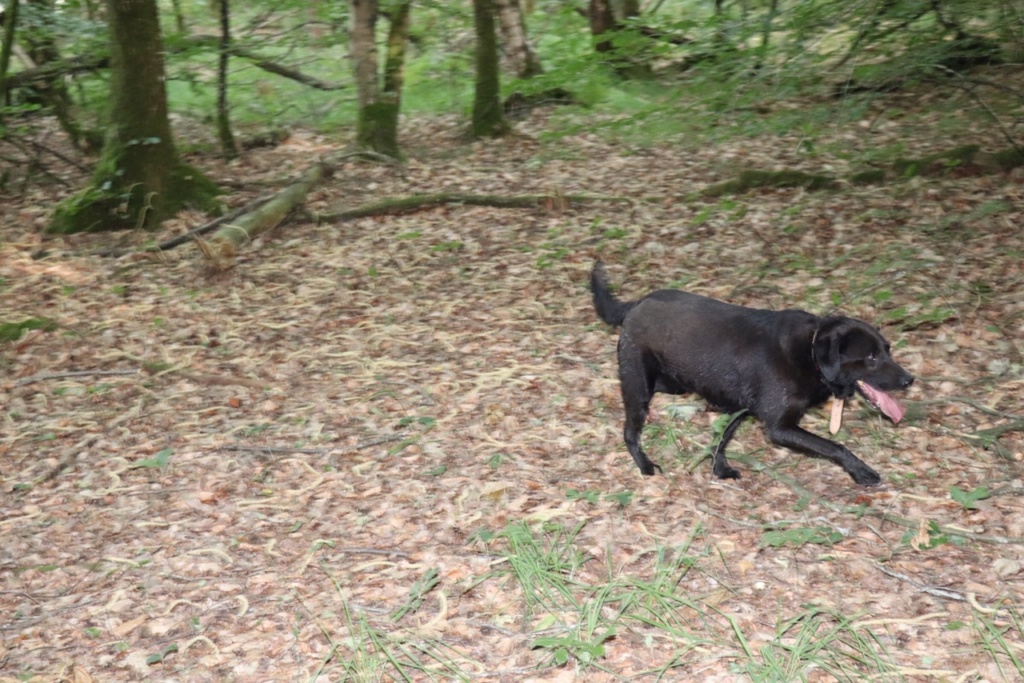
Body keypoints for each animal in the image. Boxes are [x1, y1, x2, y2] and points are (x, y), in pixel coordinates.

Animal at [589, 264, 917, 485]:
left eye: (888, 349)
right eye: (872, 357)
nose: (909, 380)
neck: (811, 354)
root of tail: (637, 303)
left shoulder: (738, 409)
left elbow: (720, 439)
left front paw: (719, 469)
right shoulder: (780, 427)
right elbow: (835, 446)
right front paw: (862, 471)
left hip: (671, 383)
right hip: (639, 386)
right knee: (630, 431)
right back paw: (644, 466)